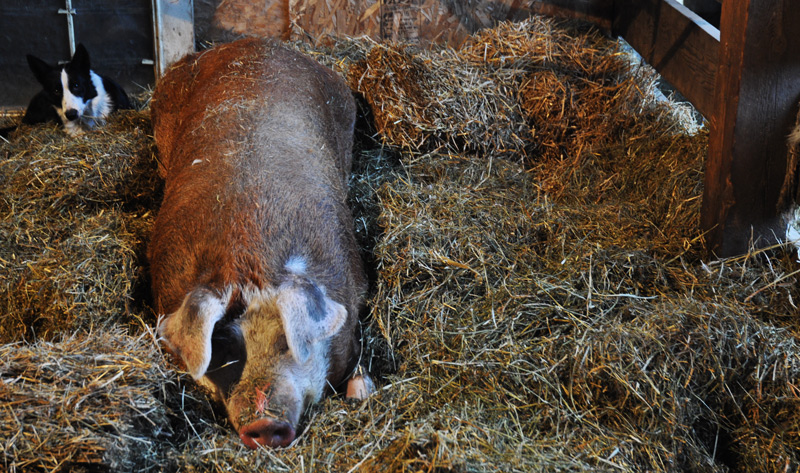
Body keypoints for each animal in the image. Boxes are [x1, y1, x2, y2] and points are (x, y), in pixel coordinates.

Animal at [147, 38, 373, 449]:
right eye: (222, 346)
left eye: (286, 340)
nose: (263, 424)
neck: (247, 254)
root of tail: (253, 42)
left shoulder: (354, 278)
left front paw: (361, 391)